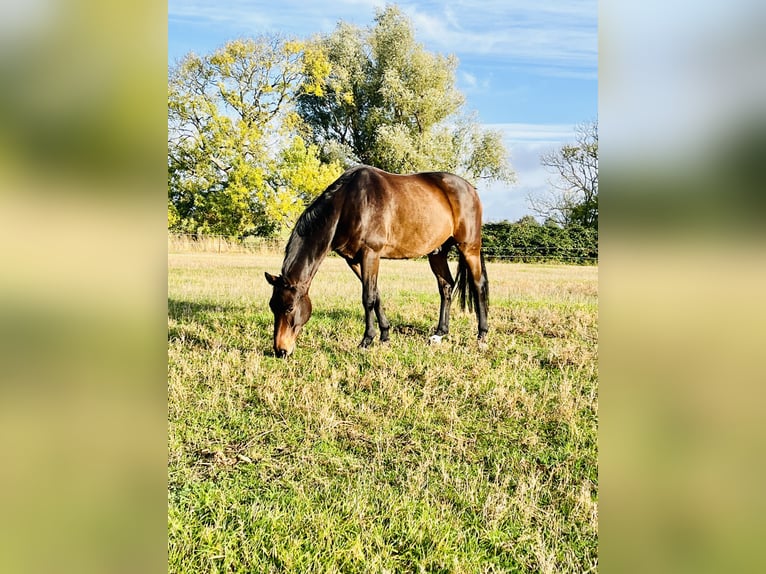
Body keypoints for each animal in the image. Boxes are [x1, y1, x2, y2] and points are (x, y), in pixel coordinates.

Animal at [265, 164, 489, 357]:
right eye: (272, 306)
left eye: (289, 308)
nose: (280, 350)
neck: (347, 204)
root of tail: (471, 189)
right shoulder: (354, 260)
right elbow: (377, 294)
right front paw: (385, 335)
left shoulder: (370, 254)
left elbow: (368, 298)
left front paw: (367, 339)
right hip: (437, 252)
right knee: (446, 286)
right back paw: (440, 333)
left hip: (469, 248)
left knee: (478, 285)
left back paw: (482, 335)